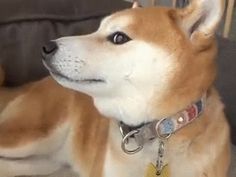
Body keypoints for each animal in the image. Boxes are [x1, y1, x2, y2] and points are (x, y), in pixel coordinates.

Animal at [0, 0, 230, 177]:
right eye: (97, 29)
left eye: (119, 37)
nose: (46, 47)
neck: (159, 133)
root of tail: (32, 84)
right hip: (31, 136)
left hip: (47, 162)